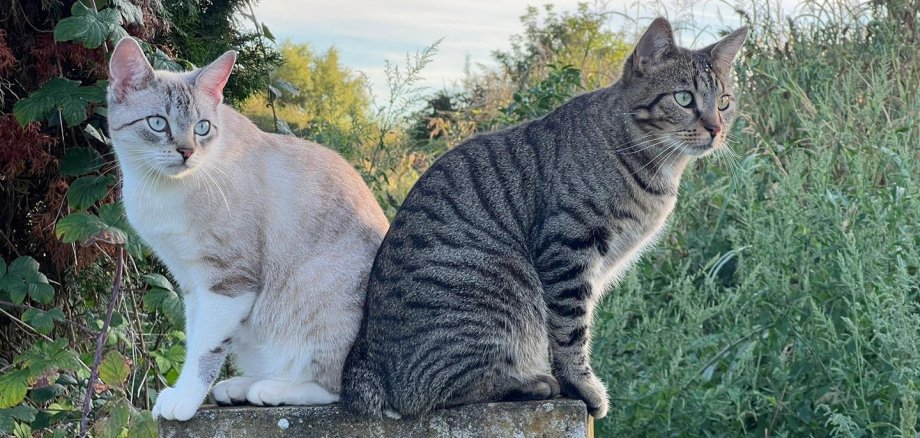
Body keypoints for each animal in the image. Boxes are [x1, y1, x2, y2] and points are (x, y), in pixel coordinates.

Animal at [108, 37, 388, 420]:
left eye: (202, 127)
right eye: (157, 123)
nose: (186, 152)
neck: (162, 190)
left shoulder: (228, 282)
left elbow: (205, 351)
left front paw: (184, 400)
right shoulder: (190, 283)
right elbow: (195, 340)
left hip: (317, 305)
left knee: (337, 390)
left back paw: (271, 389)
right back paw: (240, 386)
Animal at [344, 18, 748, 420]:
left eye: (724, 102)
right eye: (684, 98)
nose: (716, 128)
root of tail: (365, 362)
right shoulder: (569, 244)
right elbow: (570, 331)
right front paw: (582, 385)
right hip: (495, 291)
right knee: (431, 390)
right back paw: (529, 382)